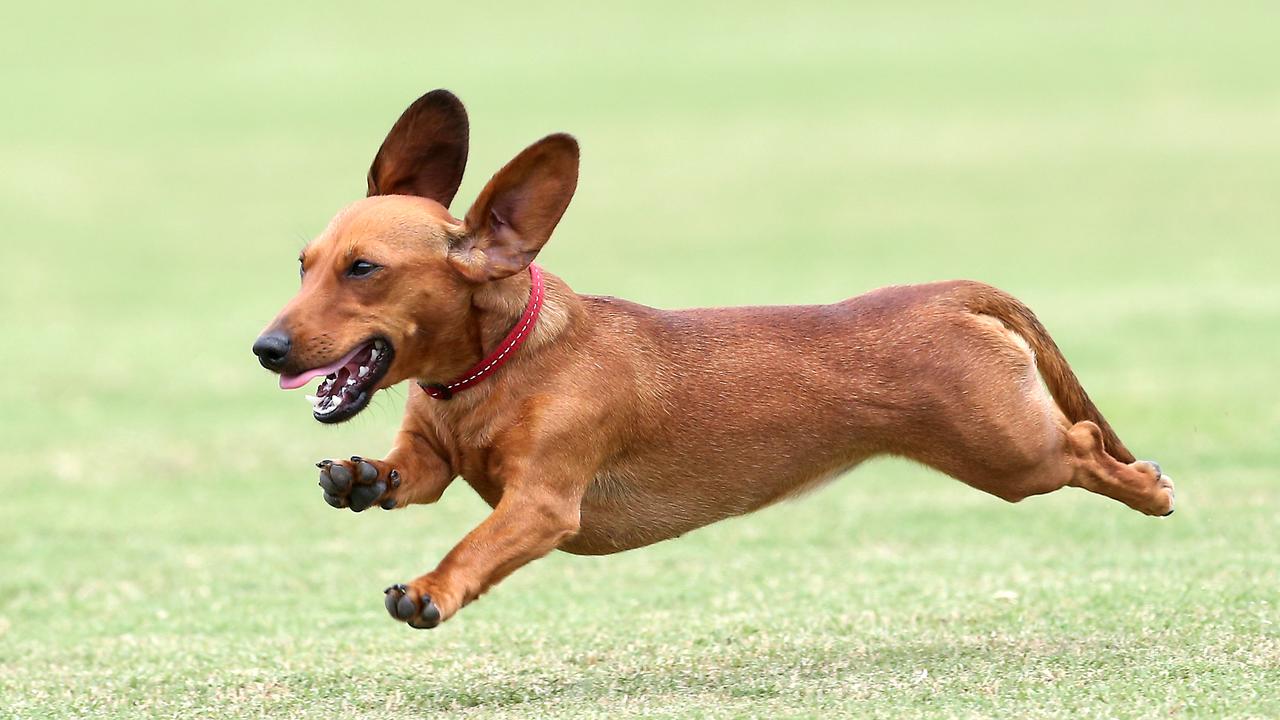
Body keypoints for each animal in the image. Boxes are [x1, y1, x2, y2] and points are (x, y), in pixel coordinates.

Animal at [254, 89, 1172, 627]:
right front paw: (359, 476)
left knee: (1085, 446)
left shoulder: (542, 505)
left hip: (1012, 456)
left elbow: (475, 546)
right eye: (304, 262)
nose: (266, 349)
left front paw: (431, 588)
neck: (494, 375)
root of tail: (947, 293)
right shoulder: (434, 459)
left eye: (363, 270)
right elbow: (404, 475)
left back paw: (1151, 488)